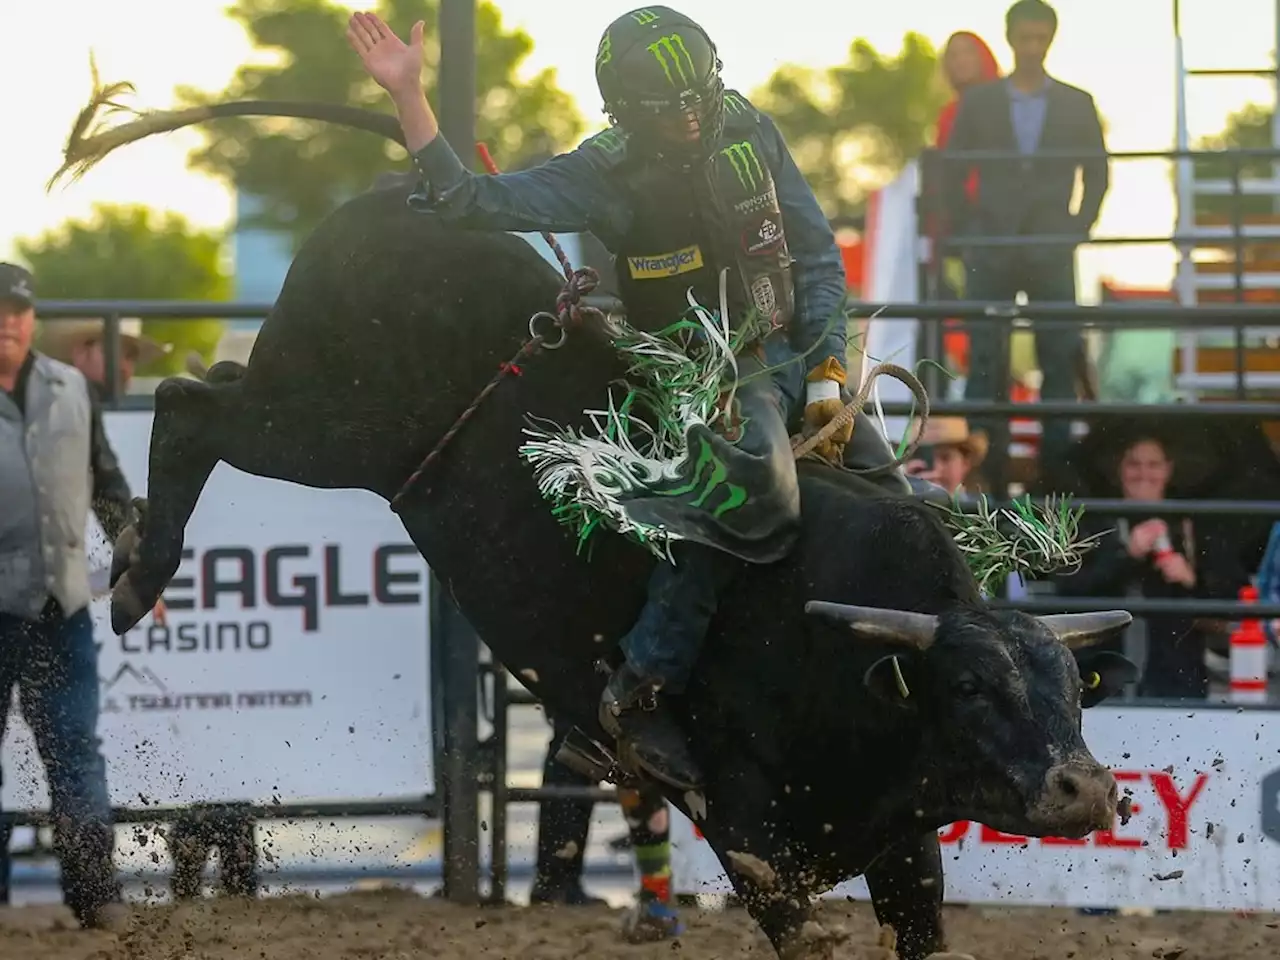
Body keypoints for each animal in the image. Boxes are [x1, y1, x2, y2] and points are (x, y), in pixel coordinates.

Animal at [82, 101, 1131, 957]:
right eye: (969, 686)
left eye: (1072, 688)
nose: (1086, 789)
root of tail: (404, 194)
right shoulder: (754, 843)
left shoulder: (906, 849)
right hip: (326, 426)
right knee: (186, 407)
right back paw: (136, 576)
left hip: (308, 410)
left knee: (209, 387)